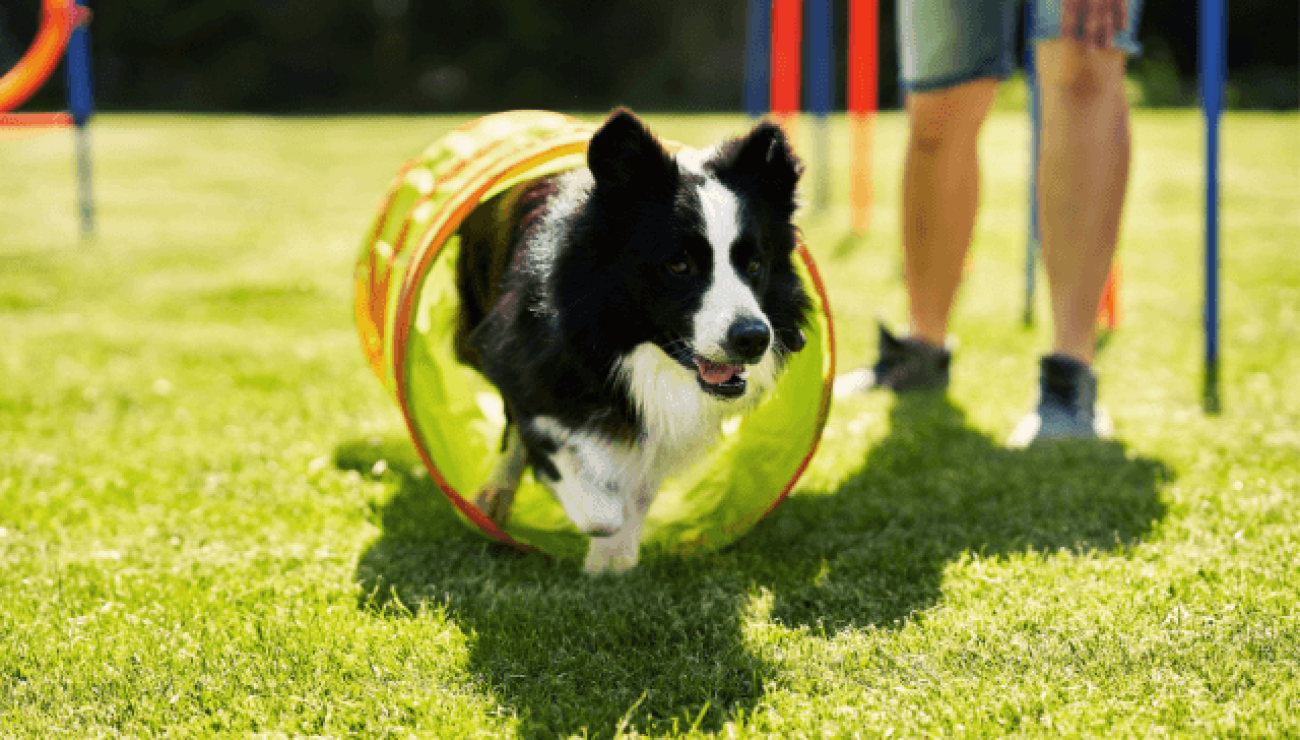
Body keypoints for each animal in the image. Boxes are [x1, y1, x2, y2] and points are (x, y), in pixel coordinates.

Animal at [452, 109, 806, 572]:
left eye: (754, 264)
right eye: (679, 265)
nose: (753, 338)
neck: (620, 343)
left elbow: (639, 482)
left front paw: (612, 561)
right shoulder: (520, 358)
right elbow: (574, 475)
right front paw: (598, 518)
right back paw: (494, 494)